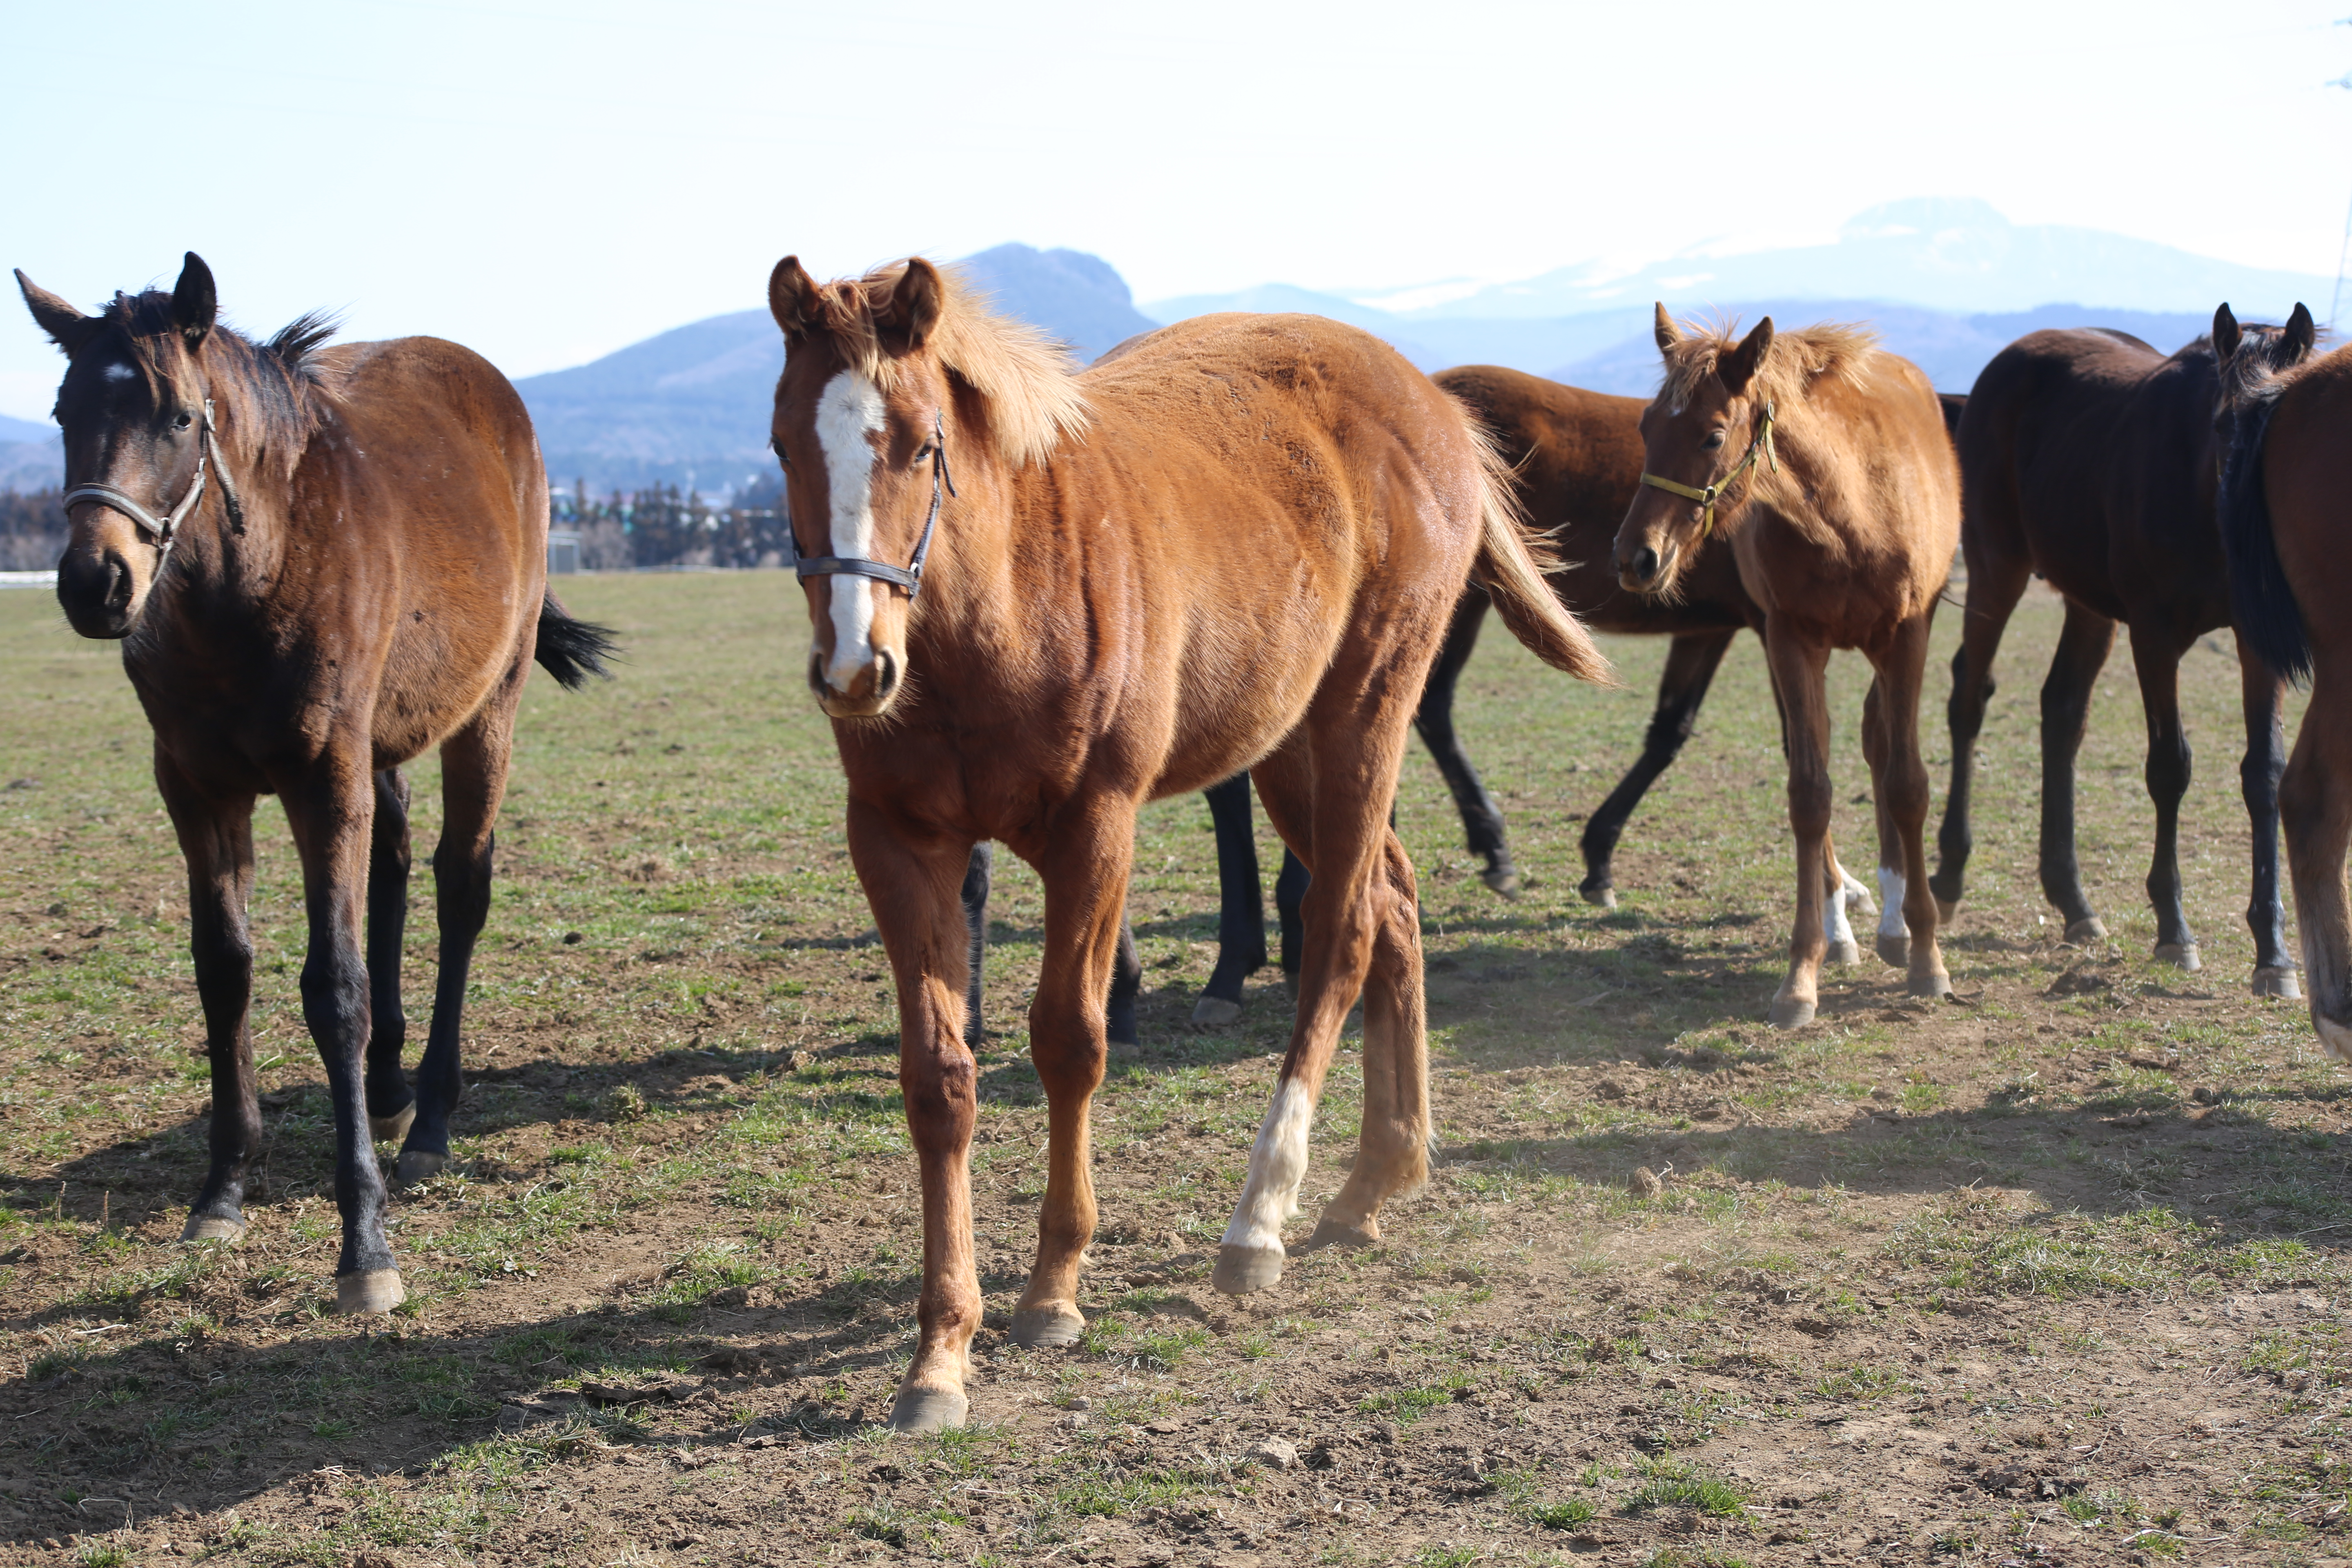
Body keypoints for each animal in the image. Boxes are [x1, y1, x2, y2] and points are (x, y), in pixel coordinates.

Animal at [13, 255, 616, 1316]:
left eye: (179, 416)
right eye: (61, 408)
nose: (96, 582)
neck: (247, 578)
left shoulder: (322, 777)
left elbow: (333, 987)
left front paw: (364, 1245)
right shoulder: (195, 788)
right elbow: (224, 970)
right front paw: (220, 1192)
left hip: (486, 711)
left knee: (460, 885)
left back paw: (428, 1122)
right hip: (382, 740)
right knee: (395, 863)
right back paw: (388, 1088)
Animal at [762, 257, 1608, 1439]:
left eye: (923, 444)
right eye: (784, 445)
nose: (853, 665)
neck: (1001, 604)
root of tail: (1427, 396)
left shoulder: (1095, 830)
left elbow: (1070, 1041)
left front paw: (1053, 1293)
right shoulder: (897, 844)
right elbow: (938, 1079)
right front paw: (940, 1351)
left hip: (1364, 712)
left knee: (1340, 931)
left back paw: (1261, 1218)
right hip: (1288, 747)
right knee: (1391, 902)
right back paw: (1374, 1178)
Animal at [1618, 305, 1966, 1029]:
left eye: (1712, 434)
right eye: (1645, 427)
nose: (1635, 557)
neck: (1849, 509)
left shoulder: (1908, 637)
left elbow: (1907, 784)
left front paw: (1927, 956)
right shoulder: (1790, 640)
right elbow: (1809, 793)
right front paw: (1802, 973)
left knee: (1878, 744)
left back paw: (1895, 922)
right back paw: (1847, 929)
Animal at [1929, 312, 2314, 992]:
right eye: (2222, 424)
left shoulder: (2258, 645)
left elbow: (2263, 774)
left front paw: (2273, 953)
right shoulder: (2154, 637)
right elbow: (2170, 768)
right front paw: (2174, 931)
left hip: (2088, 604)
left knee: (2062, 711)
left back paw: (2074, 902)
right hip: (1996, 567)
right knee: (1969, 698)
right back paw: (1949, 875)